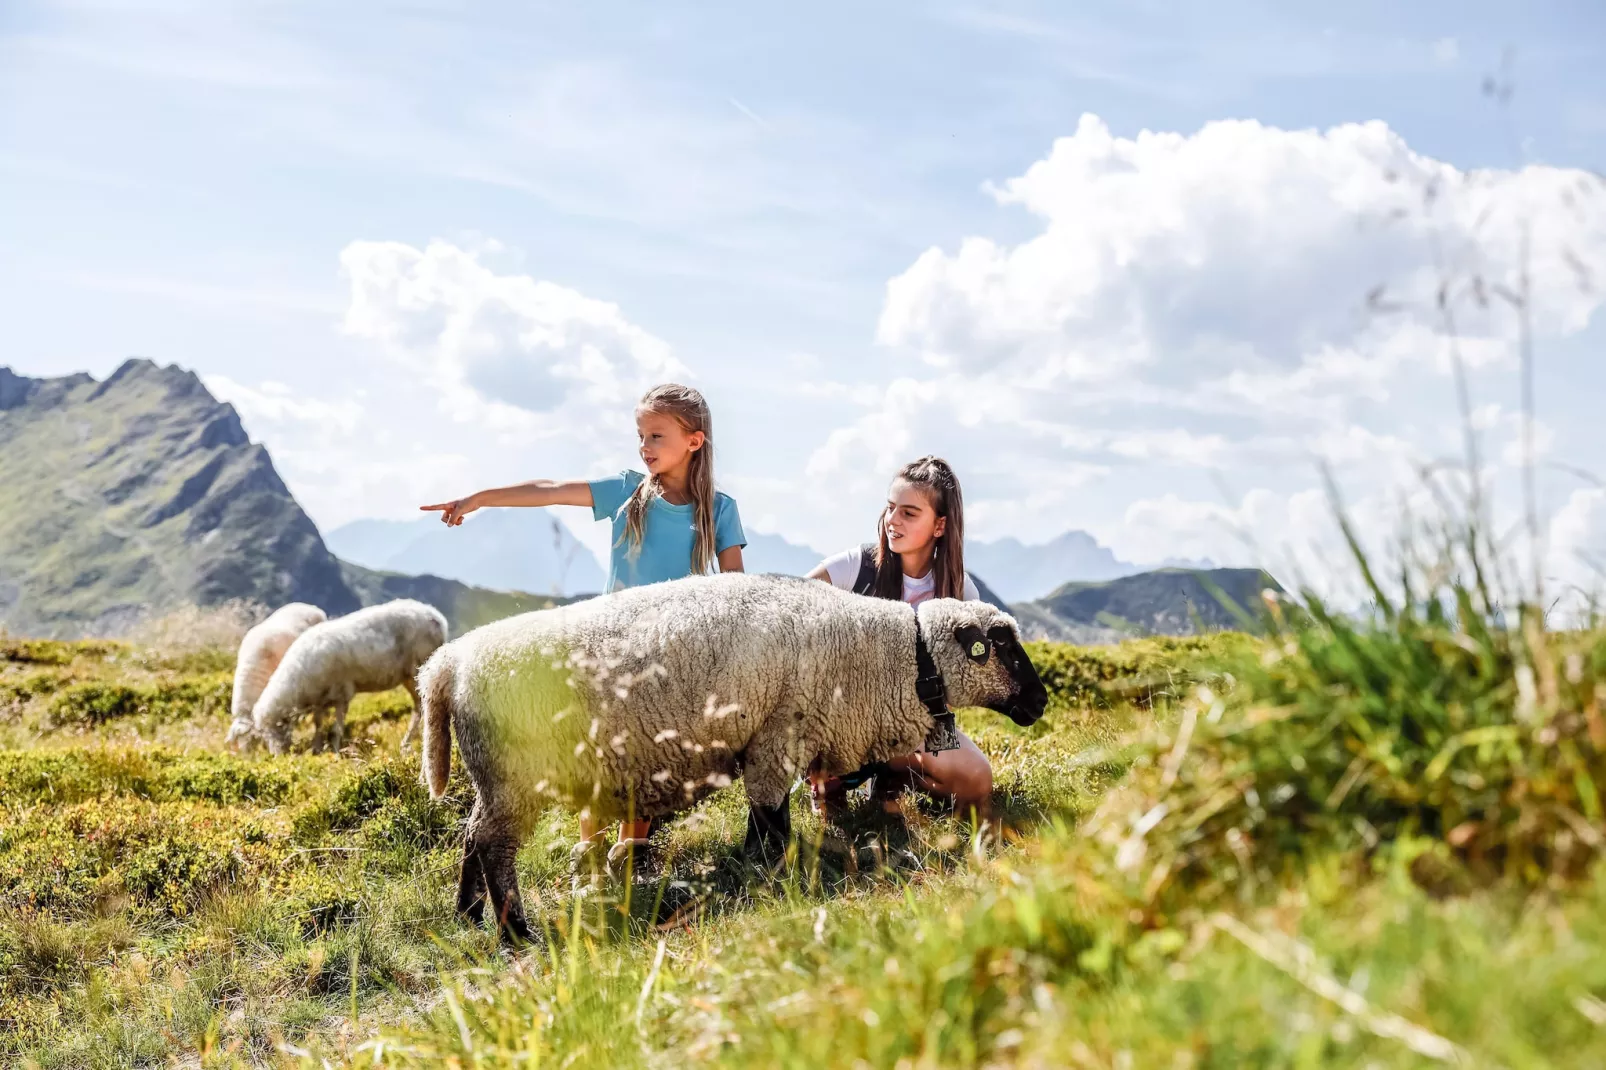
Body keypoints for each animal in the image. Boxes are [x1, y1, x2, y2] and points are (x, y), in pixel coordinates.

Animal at [250, 594, 452, 755]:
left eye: (278, 726)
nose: (277, 756)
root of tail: (437, 617)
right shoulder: (320, 699)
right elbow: (318, 725)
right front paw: (316, 749)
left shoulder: (342, 694)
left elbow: (336, 729)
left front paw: (335, 751)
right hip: (409, 676)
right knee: (419, 707)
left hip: (419, 669)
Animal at [414, 571, 1047, 938]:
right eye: (1005, 648)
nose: (1041, 702)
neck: (893, 656)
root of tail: (448, 665)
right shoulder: (777, 736)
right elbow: (771, 819)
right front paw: (771, 876)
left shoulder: (774, 742)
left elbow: (762, 819)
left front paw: (755, 868)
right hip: (514, 776)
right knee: (493, 846)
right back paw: (515, 930)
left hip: (494, 778)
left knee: (472, 834)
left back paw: (470, 914)